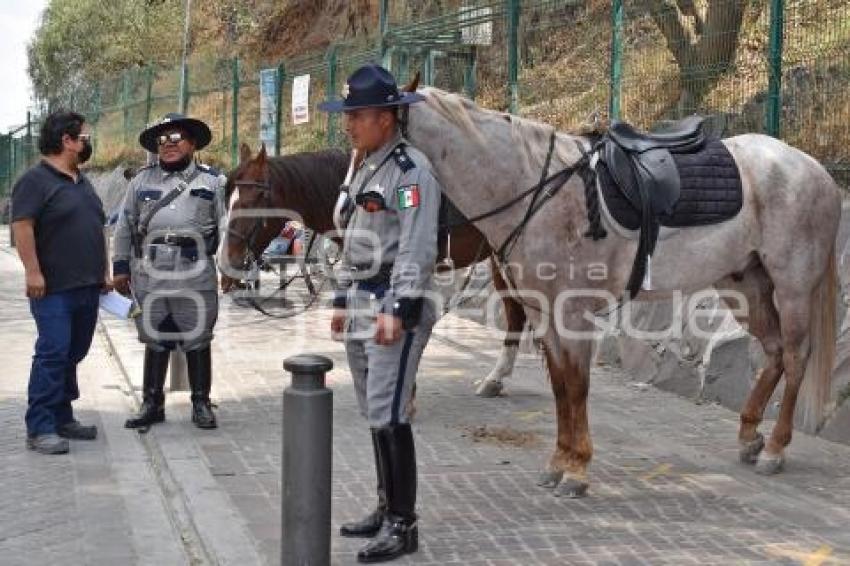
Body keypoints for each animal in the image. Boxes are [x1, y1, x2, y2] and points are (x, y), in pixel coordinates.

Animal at [406, 85, 840, 496]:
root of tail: (814, 169)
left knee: (796, 357)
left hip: (793, 288)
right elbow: (561, 385)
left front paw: (576, 469)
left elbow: (576, 386)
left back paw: (775, 449)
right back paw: (750, 436)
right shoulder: (547, 313)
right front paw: (558, 463)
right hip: (744, 286)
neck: (536, 189)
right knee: (775, 351)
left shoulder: (572, 315)